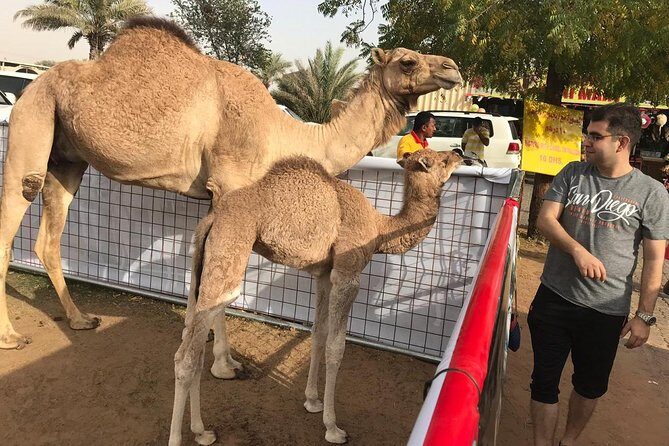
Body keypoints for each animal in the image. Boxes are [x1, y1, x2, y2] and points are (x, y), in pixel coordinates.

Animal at [0, 16, 461, 350]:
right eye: (407, 61)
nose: (453, 68)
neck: (284, 133)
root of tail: (36, 81)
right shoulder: (230, 182)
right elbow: (221, 281)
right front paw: (225, 363)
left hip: (67, 159)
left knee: (48, 237)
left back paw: (80, 319)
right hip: (31, 122)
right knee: (12, 216)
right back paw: (11, 337)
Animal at [169, 149, 463, 445]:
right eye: (441, 161)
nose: (460, 154)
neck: (380, 227)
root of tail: (212, 218)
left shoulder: (323, 274)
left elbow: (318, 333)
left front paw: (312, 400)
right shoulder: (347, 275)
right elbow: (336, 347)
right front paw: (332, 427)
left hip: (203, 260)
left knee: (194, 341)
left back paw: (202, 431)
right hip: (229, 255)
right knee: (186, 357)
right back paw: (181, 435)